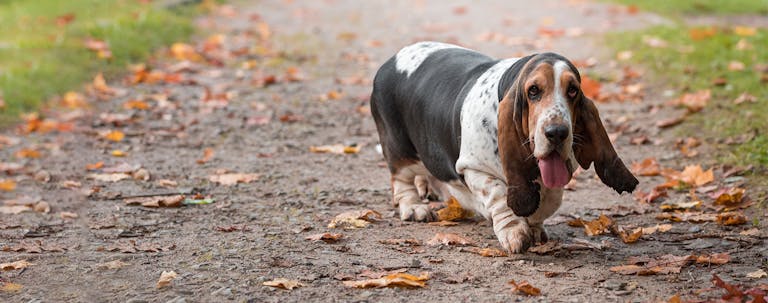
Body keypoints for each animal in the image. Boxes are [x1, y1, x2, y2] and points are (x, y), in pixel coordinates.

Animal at [368, 41, 640, 254]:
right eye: (533, 91)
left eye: (572, 90)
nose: (557, 133)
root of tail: (390, 61)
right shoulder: (474, 168)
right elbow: (499, 195)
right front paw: (514, 231)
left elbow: (548, 201)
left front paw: (535, 227)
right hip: (401, 149)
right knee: (401, 179)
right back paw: (415, 207)